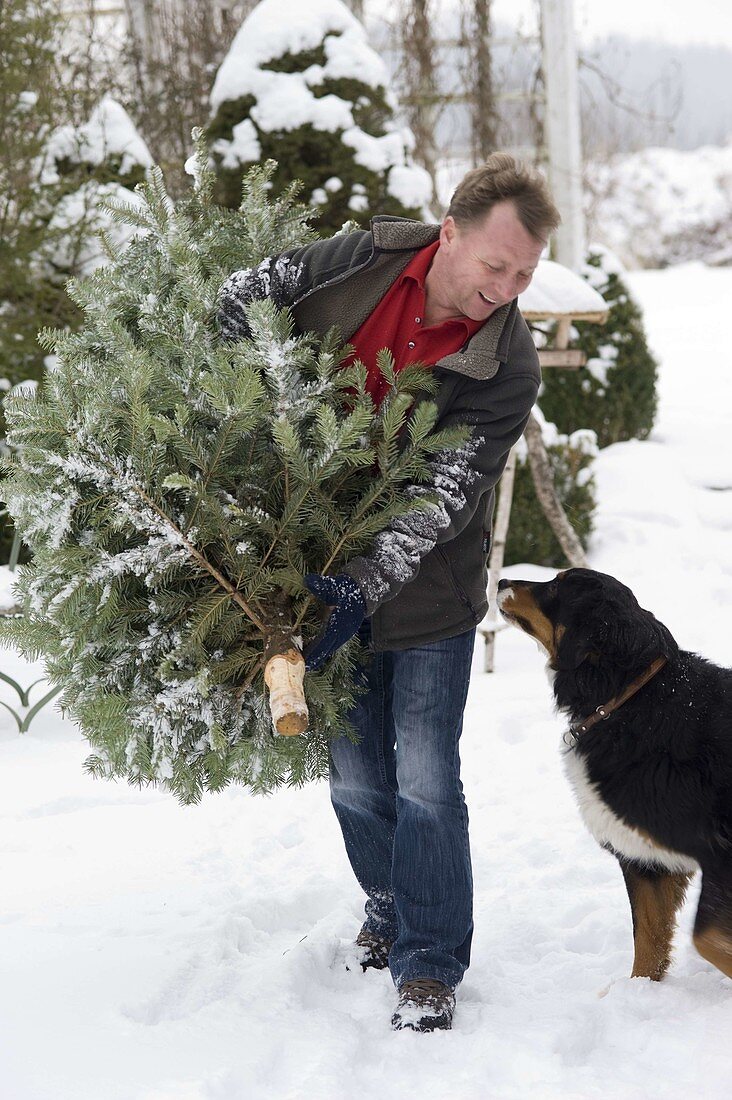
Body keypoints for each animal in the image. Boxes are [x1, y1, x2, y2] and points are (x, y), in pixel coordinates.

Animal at [497, 567, 730, 981]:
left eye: (557, 586)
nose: (500, 581)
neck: (628, 700)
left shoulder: (716, 852)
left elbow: (707, 939)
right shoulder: (647, 860)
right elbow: (648, 945)